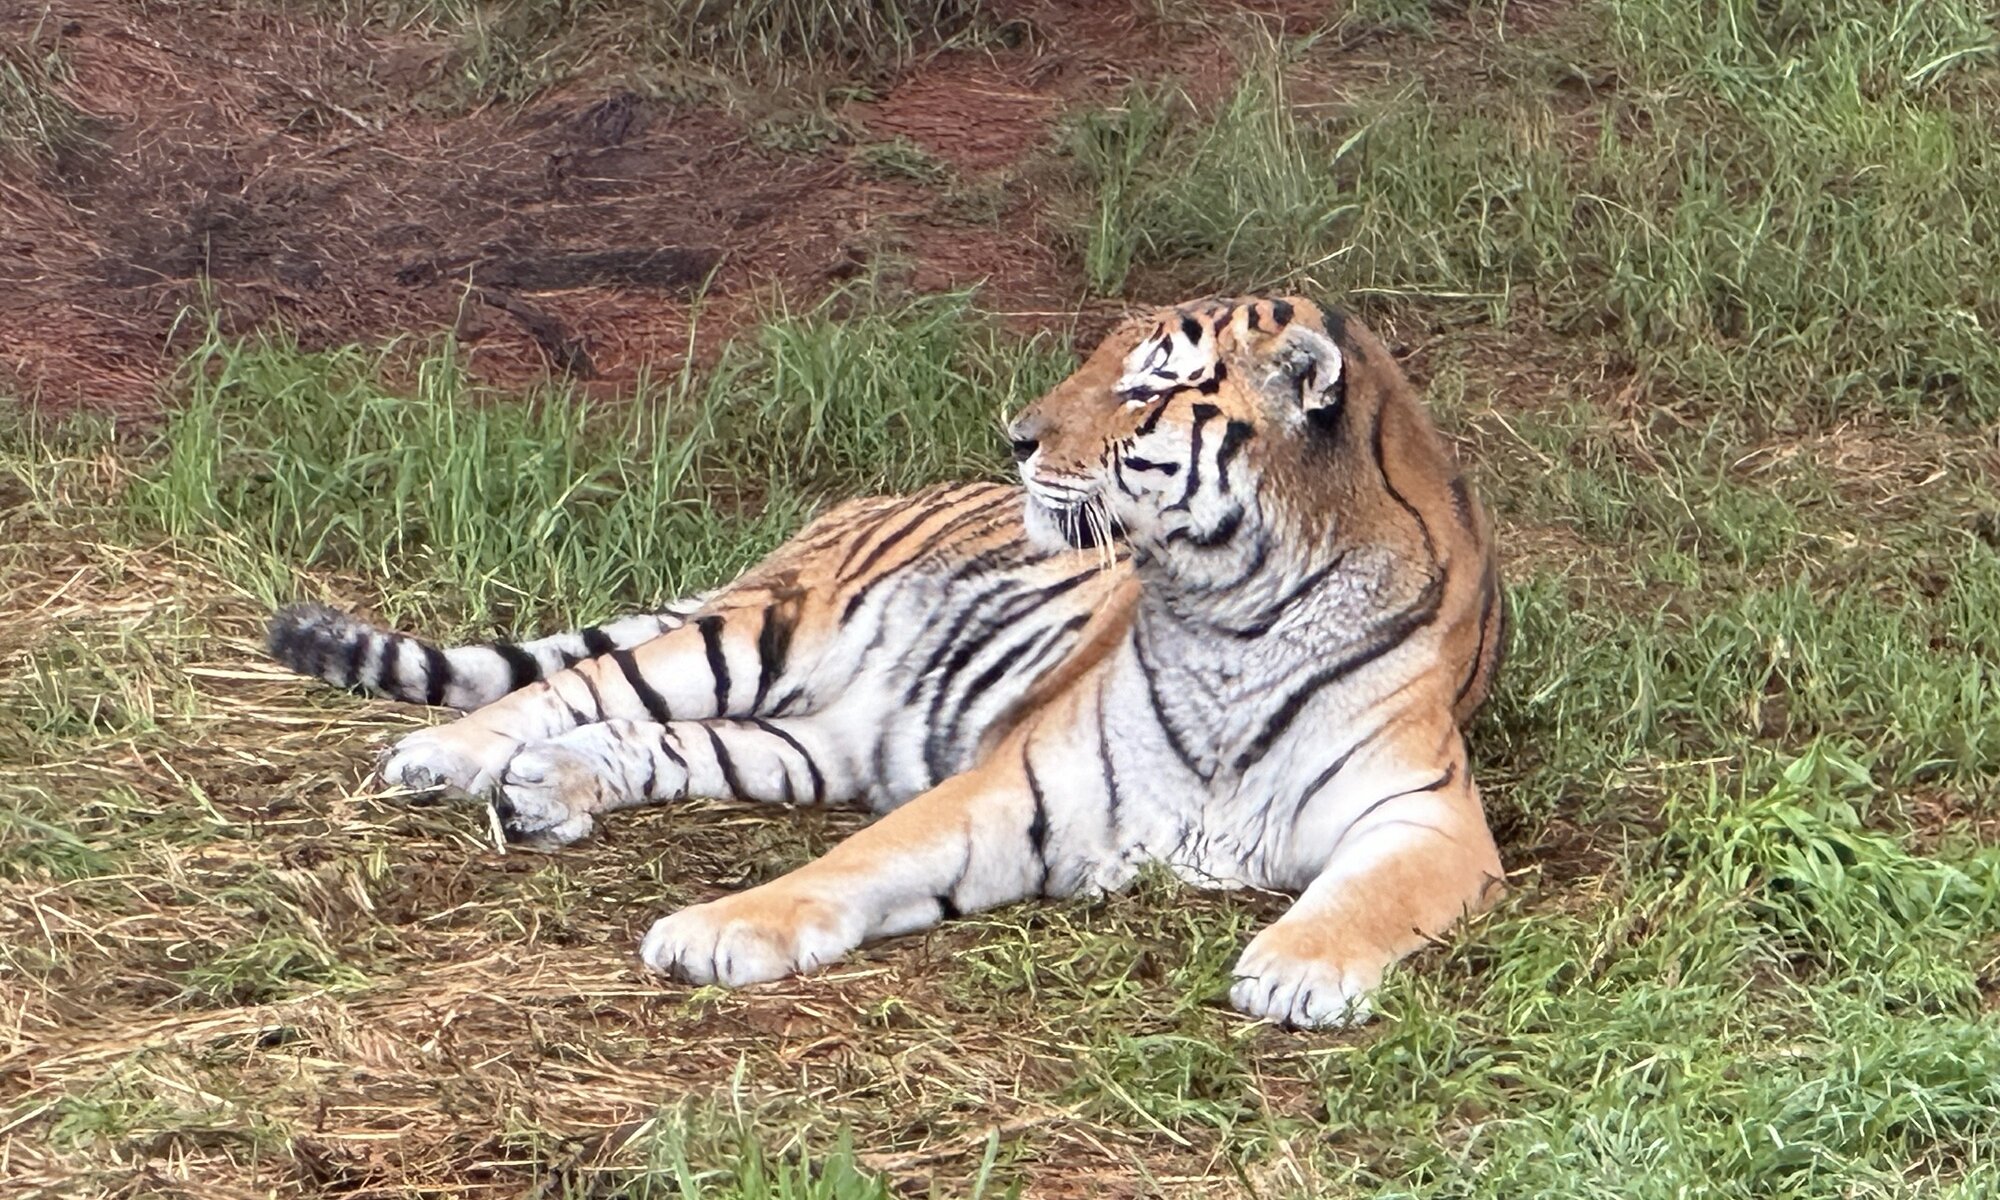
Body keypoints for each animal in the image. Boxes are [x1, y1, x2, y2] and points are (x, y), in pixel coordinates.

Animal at [274, 296, 1504, 1024]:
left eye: (1146, 383)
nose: (1015, 436)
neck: (1229, 613)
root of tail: (860, 502)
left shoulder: (1426, 813)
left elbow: (1370, 893)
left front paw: (1296, 967)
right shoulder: (1019, 784)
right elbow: (853, 865)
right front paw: (711, 933)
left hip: (809, 744)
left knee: (650, 735)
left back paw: (546, 790)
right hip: (759, 633)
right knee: (579, 682)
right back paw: (443, 757)